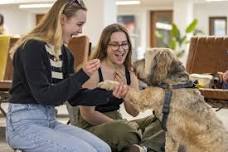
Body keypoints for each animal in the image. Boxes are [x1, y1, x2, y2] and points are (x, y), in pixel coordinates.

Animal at [98, 47, 228, 152]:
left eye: (145, 58)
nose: (132, 66)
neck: (171, 81)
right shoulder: (171, 136)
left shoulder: (143, 98)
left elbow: (127, 88)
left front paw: (107, 83)